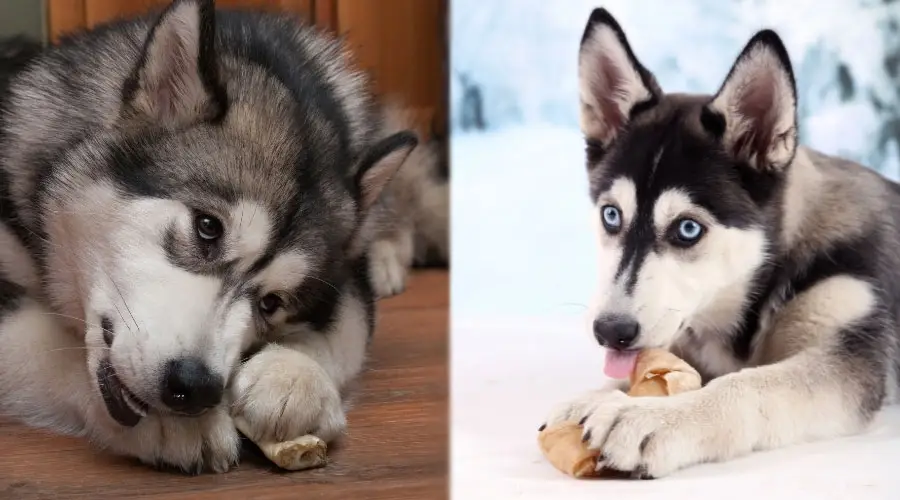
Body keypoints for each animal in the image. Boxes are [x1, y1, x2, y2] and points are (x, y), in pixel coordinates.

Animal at [0, 0, 446, 472]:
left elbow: (347, 327)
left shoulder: (347, 282)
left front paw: (292, 376)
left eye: (271, 302)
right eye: (207, 228)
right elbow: (41, 339)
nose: (194, 388)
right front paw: (175, 425)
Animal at [540, 6, 900, 476]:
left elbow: (752, 385)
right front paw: (595, 396)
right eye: (611, 215)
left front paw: (649, 416)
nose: (610, 331)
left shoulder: (850, 350)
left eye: (688, 229)